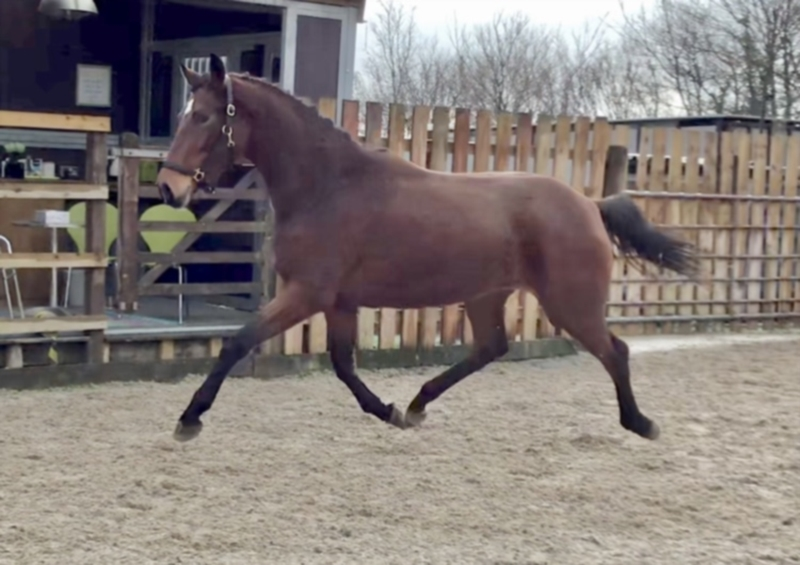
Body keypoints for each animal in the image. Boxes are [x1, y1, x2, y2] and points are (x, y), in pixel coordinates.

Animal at [155, 53, 699, 443]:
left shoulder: (307, 293)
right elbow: (342, 364)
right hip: (487, 295)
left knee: (614, 350)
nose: (167, 188)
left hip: (570, 303)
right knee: (490, 348)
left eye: (203, 117)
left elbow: (238, 342)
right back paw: (417, 405)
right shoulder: (338, 302)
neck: (328, 186)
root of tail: (588, 204)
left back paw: (641, 423)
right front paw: (389, 411)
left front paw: (189, 419)